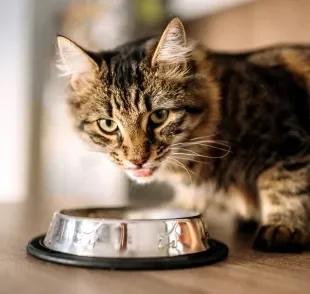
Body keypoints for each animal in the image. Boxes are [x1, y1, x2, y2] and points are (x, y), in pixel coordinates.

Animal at [57, 17, 310, 253]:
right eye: (108, 124)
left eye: (159, 115)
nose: (137, 161)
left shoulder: (287, 142)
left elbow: (284, 184)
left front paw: (284, 227)